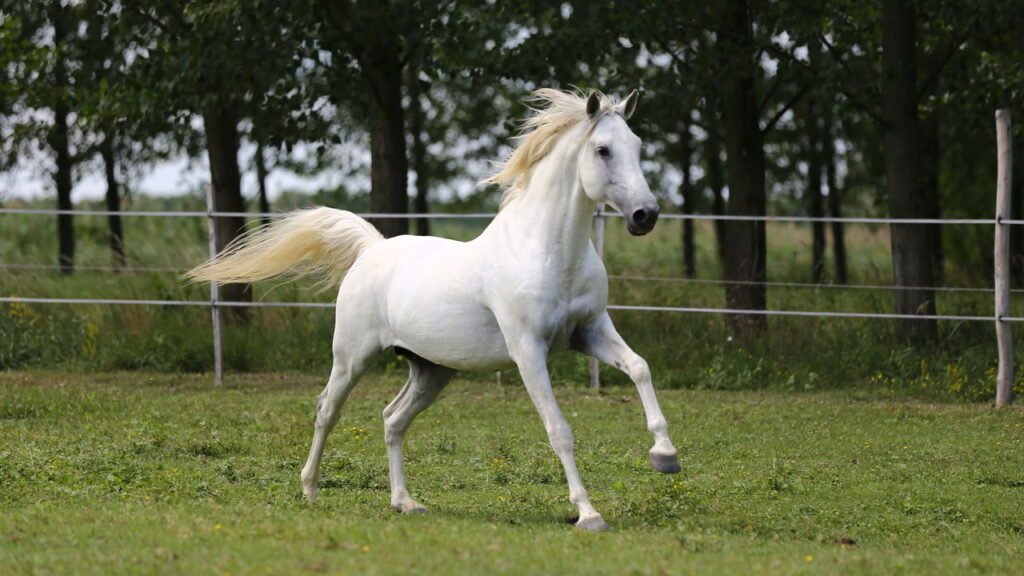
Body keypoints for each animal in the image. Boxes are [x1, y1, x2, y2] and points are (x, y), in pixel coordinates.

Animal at [187, 88, 680, 531]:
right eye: (602, 149)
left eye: (637, 146)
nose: (645, 215)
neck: (547, 251)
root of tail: (372, 248)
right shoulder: (528, 350)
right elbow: (559, 429)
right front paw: (589, 514)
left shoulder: (591, 331)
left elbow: (640, 367)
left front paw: (665, 455)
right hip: (352, 357)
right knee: (328, 409)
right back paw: (309, 490)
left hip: (431, 370)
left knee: (392, 419)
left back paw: (405, 503)